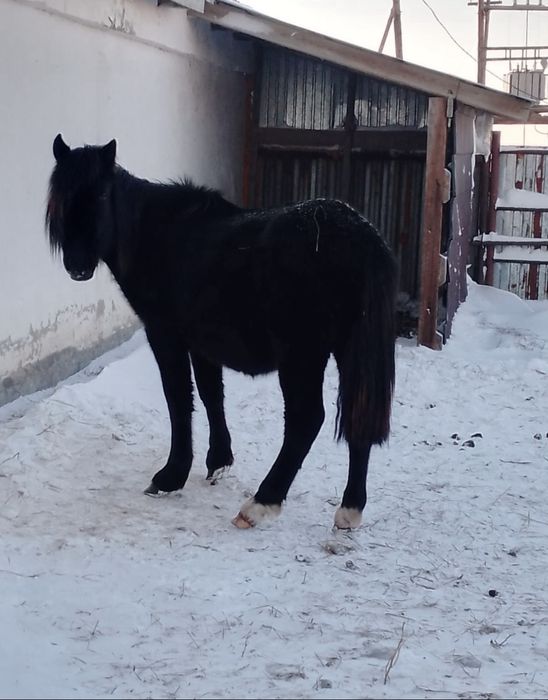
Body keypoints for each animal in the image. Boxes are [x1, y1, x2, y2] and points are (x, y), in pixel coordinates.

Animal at [46, 134, 397, 530]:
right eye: (61, 195)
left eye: (103, 194)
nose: (77, 266)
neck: (159, 234)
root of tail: (360, 237)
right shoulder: (202, 343)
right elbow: (212, 395)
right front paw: (218, 460)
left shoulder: (165, 335)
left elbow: (179, 398)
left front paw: (172, 475)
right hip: (350, 352)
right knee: (359, 416)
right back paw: (350, 508)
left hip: (303, 357)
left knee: (306, 420)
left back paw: (261, 502)